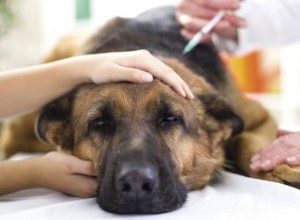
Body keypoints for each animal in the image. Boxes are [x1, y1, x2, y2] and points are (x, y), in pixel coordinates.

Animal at [1, 6, 298, 215]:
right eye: (100, 123)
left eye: (171, 119)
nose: (135, 185)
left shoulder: (258, 118)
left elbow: (248, 145)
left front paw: (280, 170)